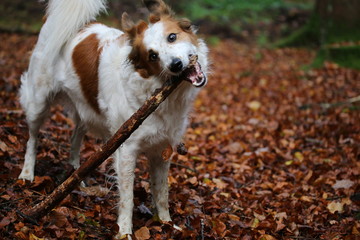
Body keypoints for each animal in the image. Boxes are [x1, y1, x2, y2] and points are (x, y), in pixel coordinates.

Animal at [18, 0, 208, 237]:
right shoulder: (126, 149)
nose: (175, 65)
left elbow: (162, 194)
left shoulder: (162, 150)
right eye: (152, 56)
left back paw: (75, 175)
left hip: (84, 109)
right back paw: (27, 173)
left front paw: (166, 223)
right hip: (38, 101)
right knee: (32, 138)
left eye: (172, 37)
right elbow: (127, 198)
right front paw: (124, 231)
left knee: (75, 137)